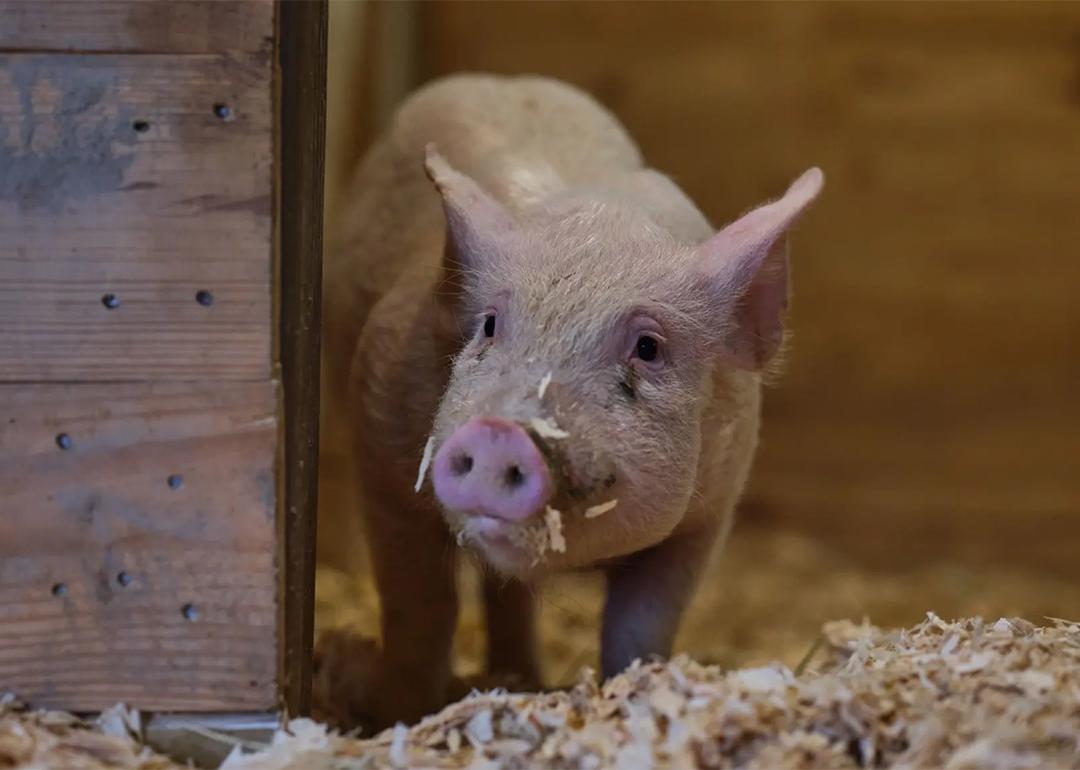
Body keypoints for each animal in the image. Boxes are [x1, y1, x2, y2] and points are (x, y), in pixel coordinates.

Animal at [320, 73, 823, 729]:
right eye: (489, 325)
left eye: (648, 347)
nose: (500, 431)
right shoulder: (381, 449)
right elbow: (421, 610)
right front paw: (401, 716)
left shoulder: (708, 515)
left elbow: (642, 626)